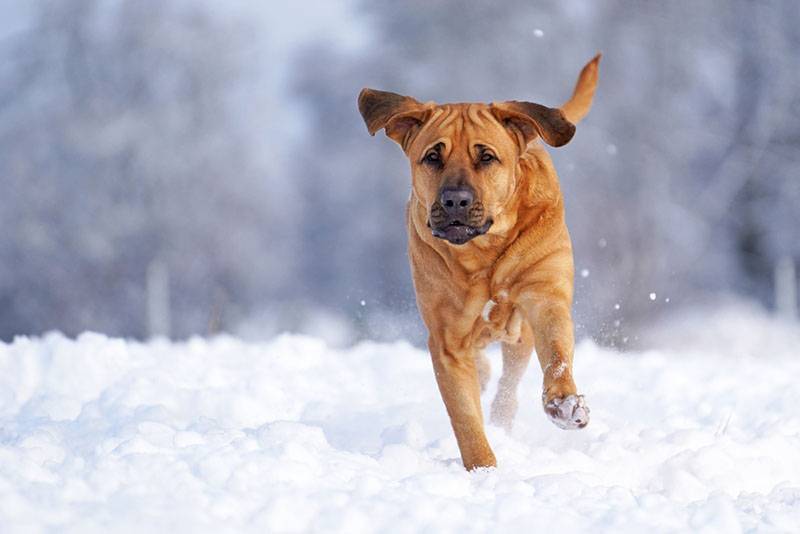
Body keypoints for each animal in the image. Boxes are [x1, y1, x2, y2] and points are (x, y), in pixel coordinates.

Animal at [358, 54, 600, 472]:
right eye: (432, 157)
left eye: (486, 157)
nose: (456, 200)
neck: (483, 252)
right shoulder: (447, 339)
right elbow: (465, 417)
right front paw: (484, 471)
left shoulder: (544, 295)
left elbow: (556, 354)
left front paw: (565, 404)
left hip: (519, 334)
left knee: (509, 383)